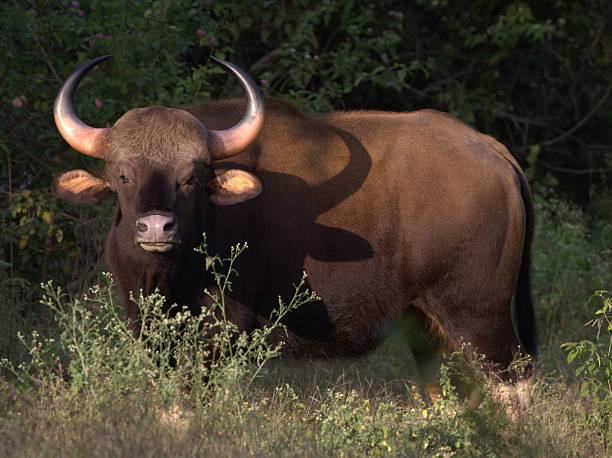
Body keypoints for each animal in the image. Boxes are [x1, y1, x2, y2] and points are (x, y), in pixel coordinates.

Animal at [51, 54, 536, 382]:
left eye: (192, 176)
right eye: (122, 175)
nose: (156, 227)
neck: (169, 273)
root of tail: (492, 151)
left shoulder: (218, 335)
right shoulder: (151, 335)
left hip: (480, 315)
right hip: (429, 328)